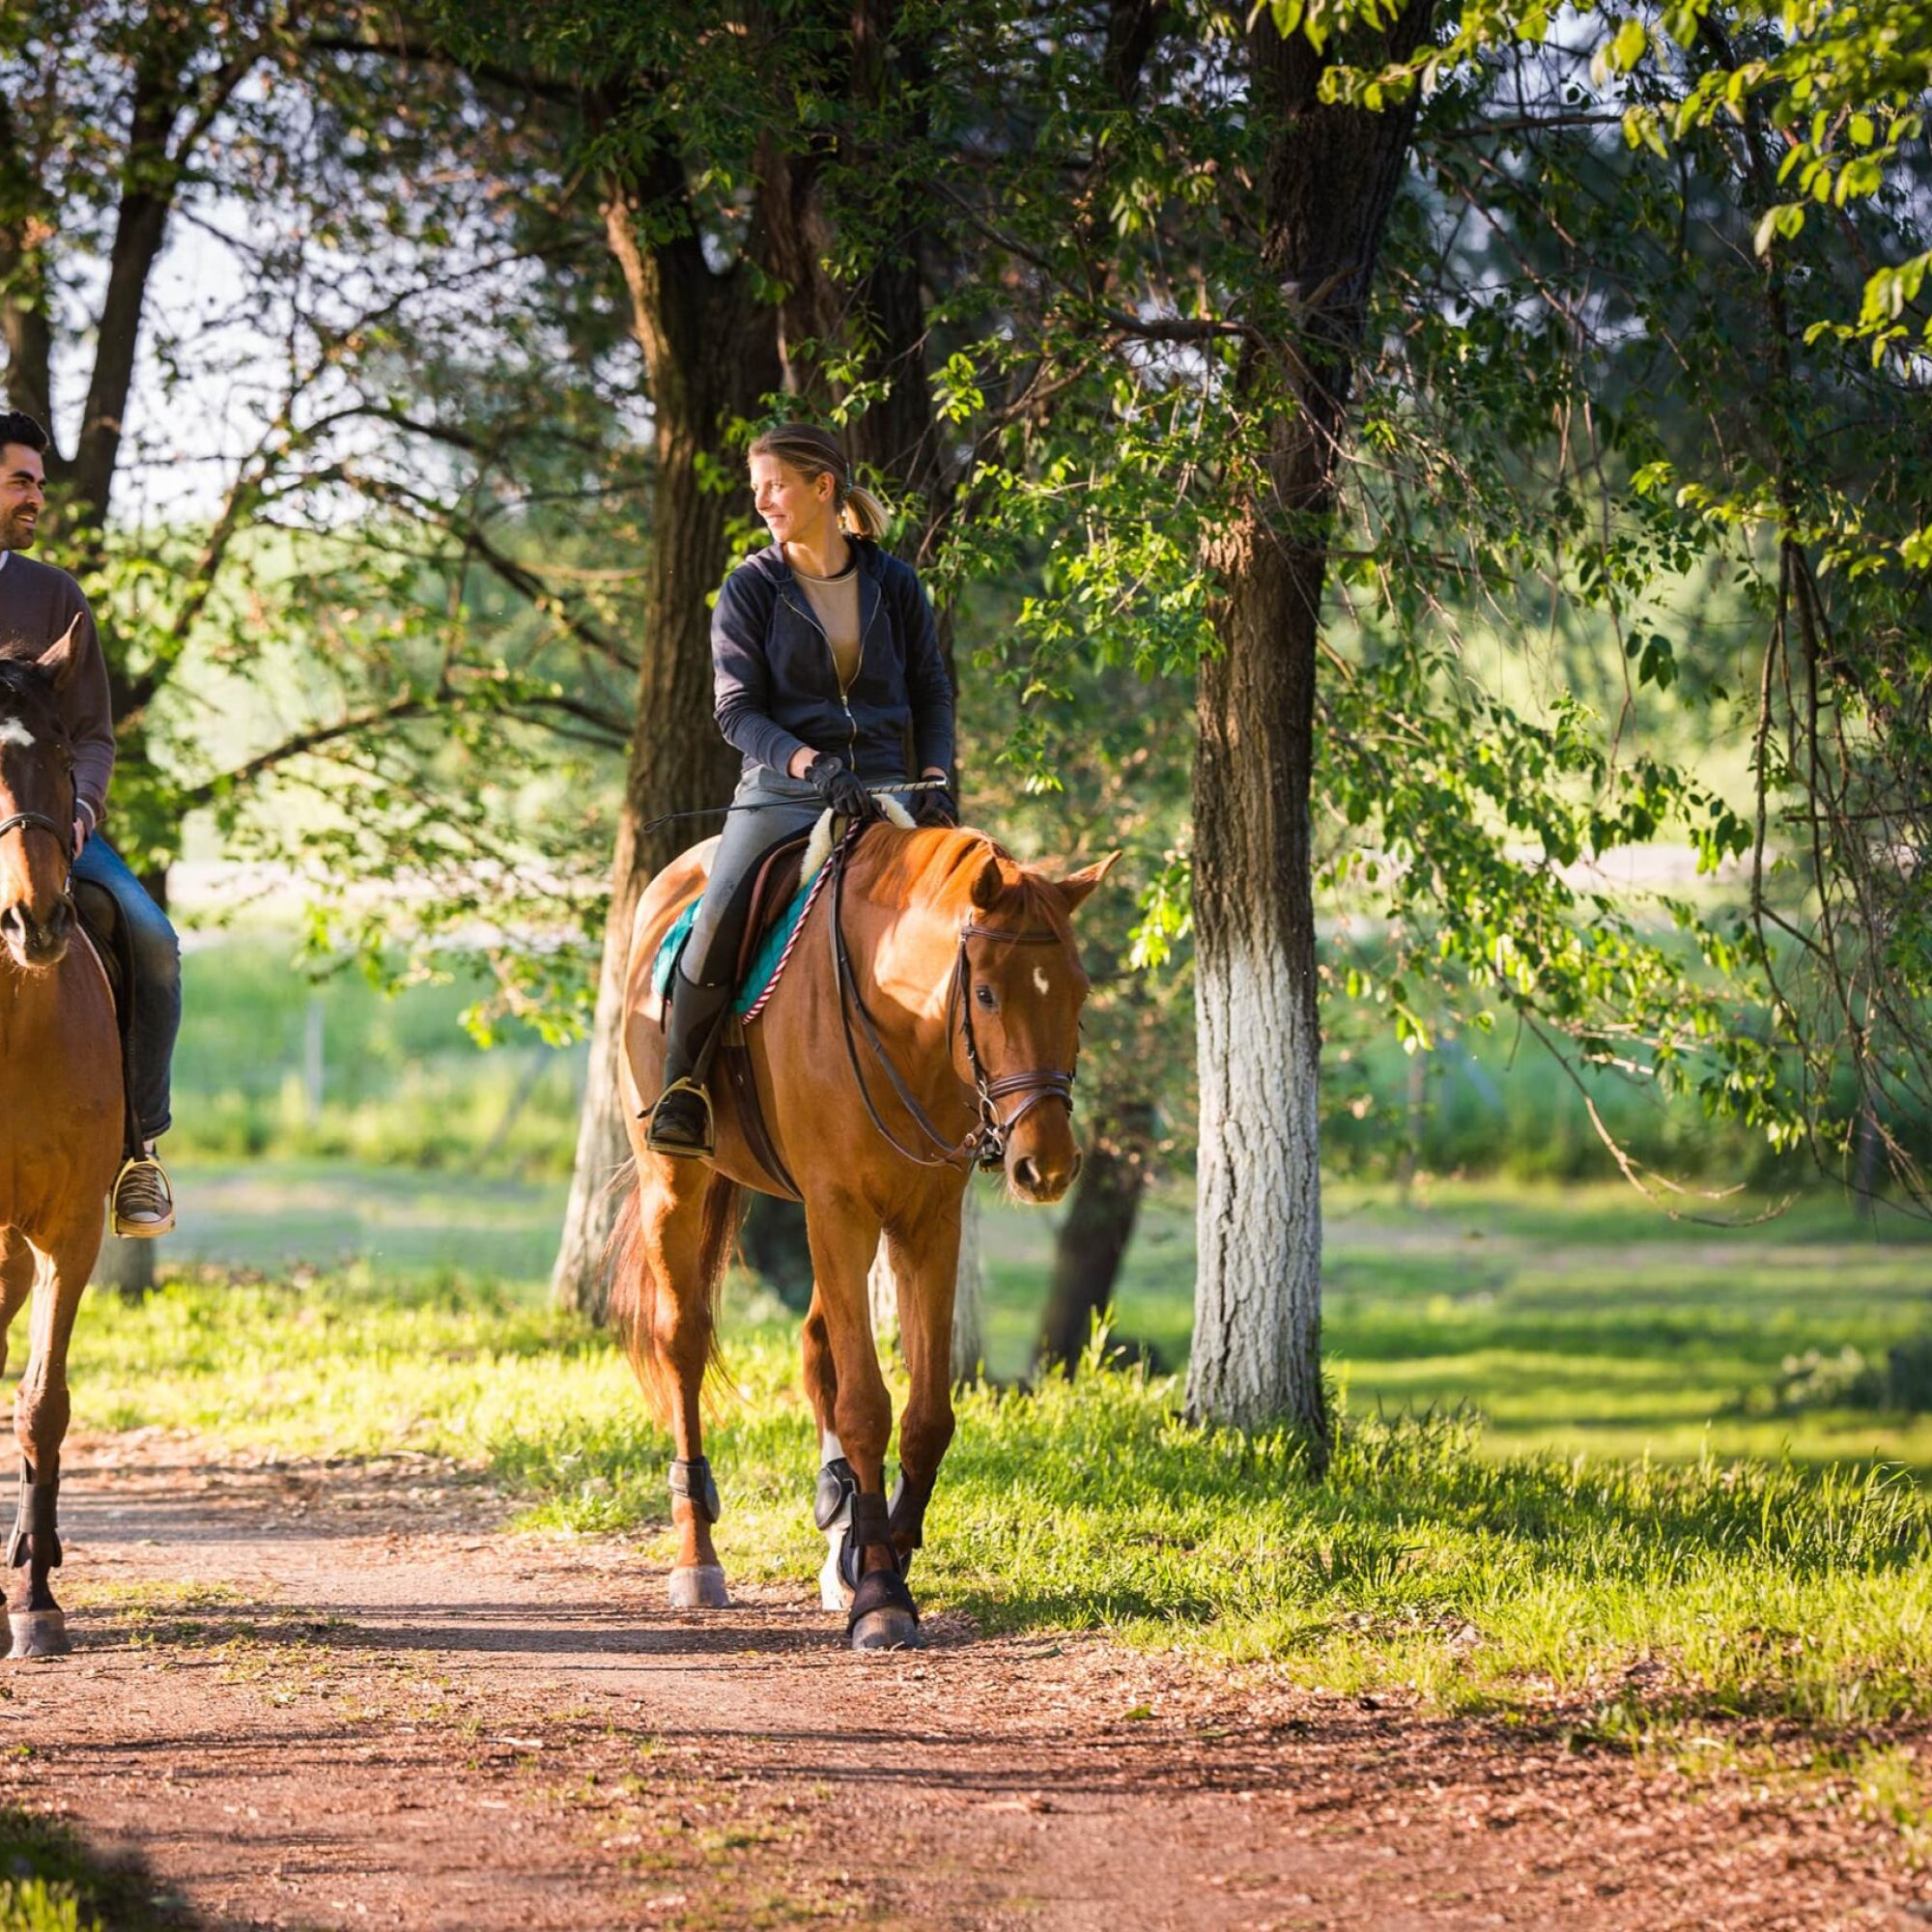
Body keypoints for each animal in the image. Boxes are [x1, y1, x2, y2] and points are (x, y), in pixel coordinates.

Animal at [612, 817, 1116, 1650]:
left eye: (1077, 994)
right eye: (986, 992)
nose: (1045, 1166)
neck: (898, 1019)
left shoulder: (926, 1221)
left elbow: (925, 1414)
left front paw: (885, 1549)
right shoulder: (839, 1210)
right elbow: (866, 1406)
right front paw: (880, 1591)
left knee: (817, 1348)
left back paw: (837, 1534)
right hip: (676, 1186)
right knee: (682, 1344)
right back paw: (698, 1561)